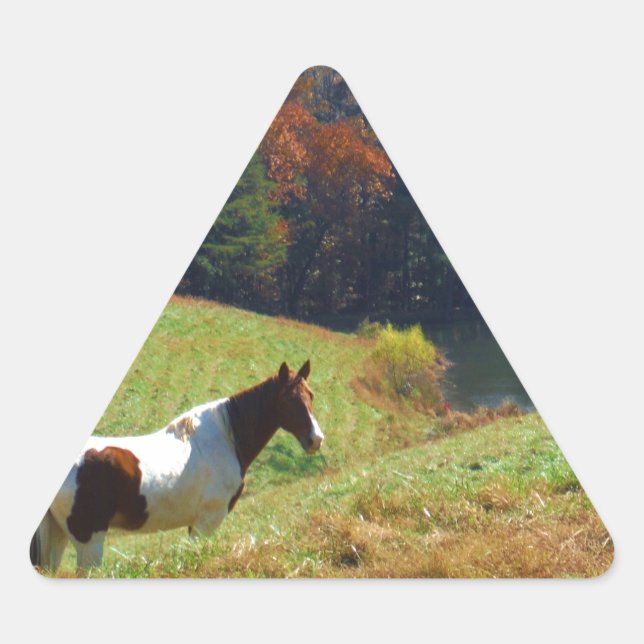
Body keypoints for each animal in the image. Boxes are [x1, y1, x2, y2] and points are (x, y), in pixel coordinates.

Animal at [30, 360, 324, 571]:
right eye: (288, 399)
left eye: (311, 395)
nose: (316, 439)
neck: (225, 438)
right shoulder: (207, 522)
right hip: (88, 541)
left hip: (59, 535)